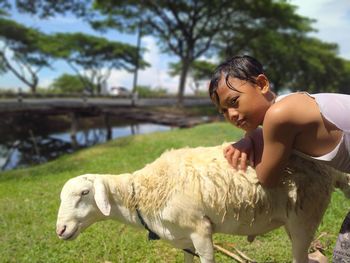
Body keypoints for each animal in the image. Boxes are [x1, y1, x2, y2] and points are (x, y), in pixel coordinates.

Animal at [55, 144, 350, 263]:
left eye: (84, 193)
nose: (60, 230)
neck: (144, 192)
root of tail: (332, 168)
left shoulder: (200, 230)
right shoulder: (184, 238)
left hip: (305, 216)